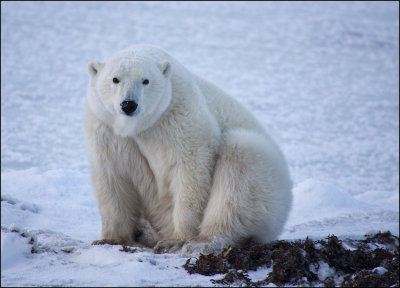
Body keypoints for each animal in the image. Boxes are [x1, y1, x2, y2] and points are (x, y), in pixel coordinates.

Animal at [84, 44, 290, 255]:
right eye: (115, 79)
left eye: (146, 80)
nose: (128, 104)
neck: (140, 127)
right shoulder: (106, 128)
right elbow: (112, 178)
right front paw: (112, 239)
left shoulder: (178, 117)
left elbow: (189, 169)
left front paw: (176, 241)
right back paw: (143, 231)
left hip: (269, 186)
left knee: (240, 163)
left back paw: (204, 241)